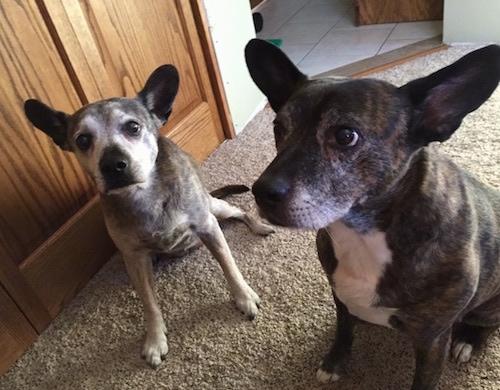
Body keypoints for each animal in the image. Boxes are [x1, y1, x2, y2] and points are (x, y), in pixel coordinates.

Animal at [23, 64, 274, 368]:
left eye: (133, 127)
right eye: (82, 140)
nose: (113, 165)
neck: (145, 195)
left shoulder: (208, 226)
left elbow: (229, 266)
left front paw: (244, 297)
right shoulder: (134, 258)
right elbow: (149, 303)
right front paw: (155, 340)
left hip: (216, 208)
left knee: (239, 211)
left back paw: (259, 225)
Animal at [245, 40, 500, 390]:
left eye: (345, 135)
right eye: (278, 129)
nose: (261, 192)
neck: (364, 232)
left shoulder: (432, 341)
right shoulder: (339, 297)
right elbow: (344, 329)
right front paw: (335, 361)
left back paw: (468, 340)